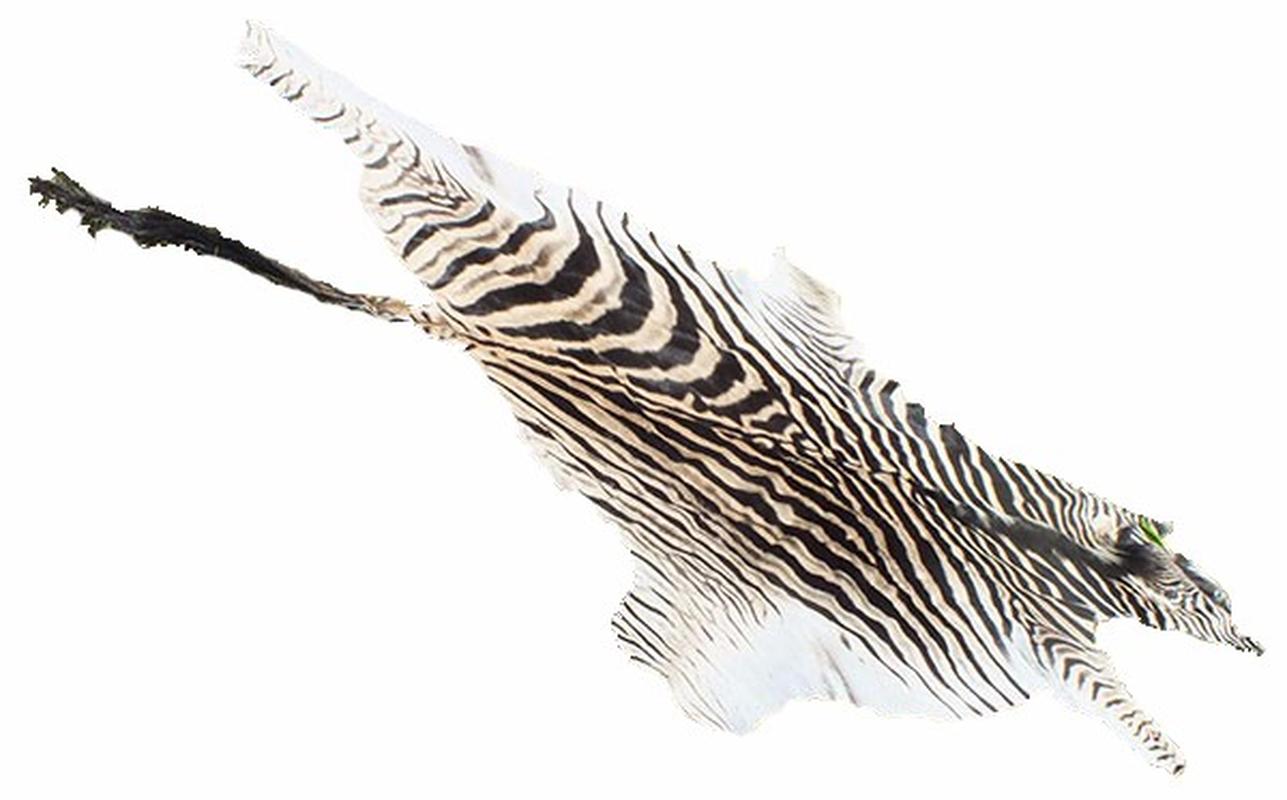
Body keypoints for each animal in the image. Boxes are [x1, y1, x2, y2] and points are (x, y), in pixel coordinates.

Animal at [28, 22, 1261, 775]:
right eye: (1204, 588)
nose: (1256, 642)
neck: (1048, 550)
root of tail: (505, 344)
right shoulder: (1044, 644)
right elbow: (1147, 729)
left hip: (521, 246)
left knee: (393, 158)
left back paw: (105, 187)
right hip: (549, 229)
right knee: (380, 127)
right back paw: (248, 67)